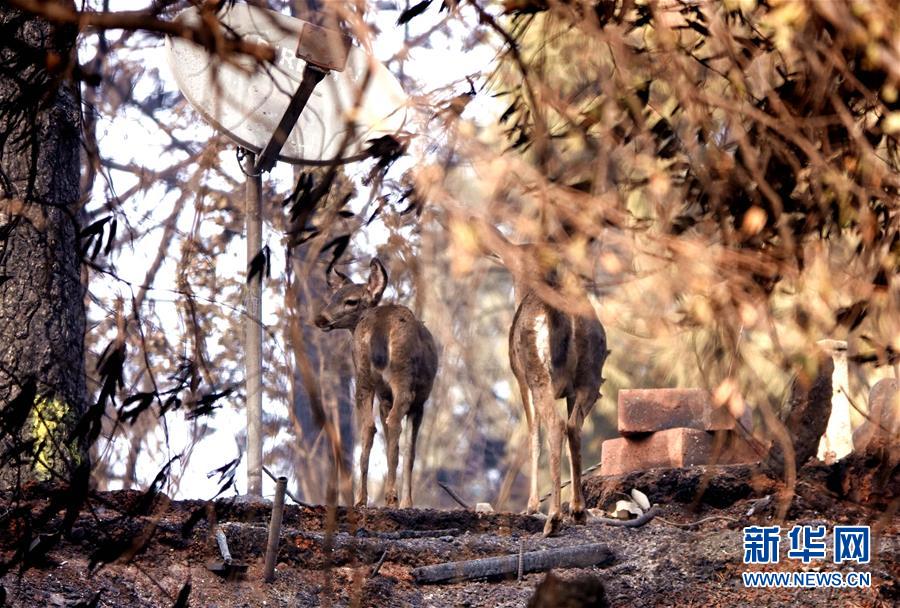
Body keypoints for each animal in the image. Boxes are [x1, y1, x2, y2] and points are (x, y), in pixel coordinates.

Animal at [312, 258, 438, 510]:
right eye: (333, 297)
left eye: (349, 300)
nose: (320, 319)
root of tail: (380, 323)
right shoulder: (419, 403)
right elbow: (410, 452)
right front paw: (407, 502)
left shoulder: (383, 397)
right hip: (403, 376)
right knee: (394, 424)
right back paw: (391, 497)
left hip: (363, 376)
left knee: (368, 428)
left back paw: (361, 499)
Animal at [506, 245, 612, 536]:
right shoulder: (571, 391)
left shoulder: (521, 380)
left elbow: (533, 434)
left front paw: (531, 505)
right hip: (589, 375)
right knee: (573, 426)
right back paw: (577, 510)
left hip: (538, 374)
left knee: (555, 425)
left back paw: (553, 518)